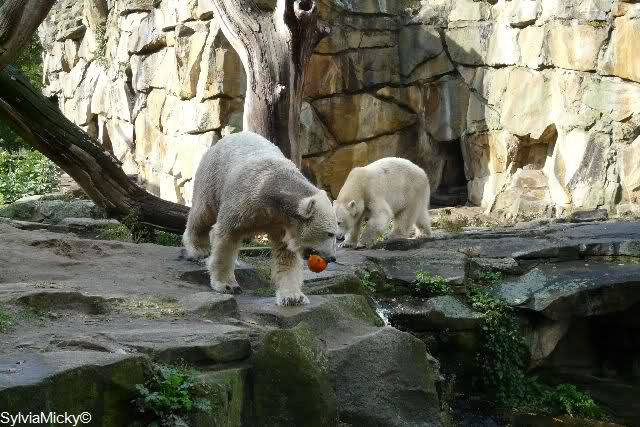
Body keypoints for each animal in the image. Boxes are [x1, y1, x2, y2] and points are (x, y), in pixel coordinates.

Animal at [183, 131, 338, 306]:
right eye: (330, 233)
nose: (332, 258)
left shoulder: (282, 223)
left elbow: (286, 255)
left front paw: (293, 296)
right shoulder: (243, 201)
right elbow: (226, 236)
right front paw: (227, 285)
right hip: (212, 177)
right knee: (202, 213)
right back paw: (198, 249)